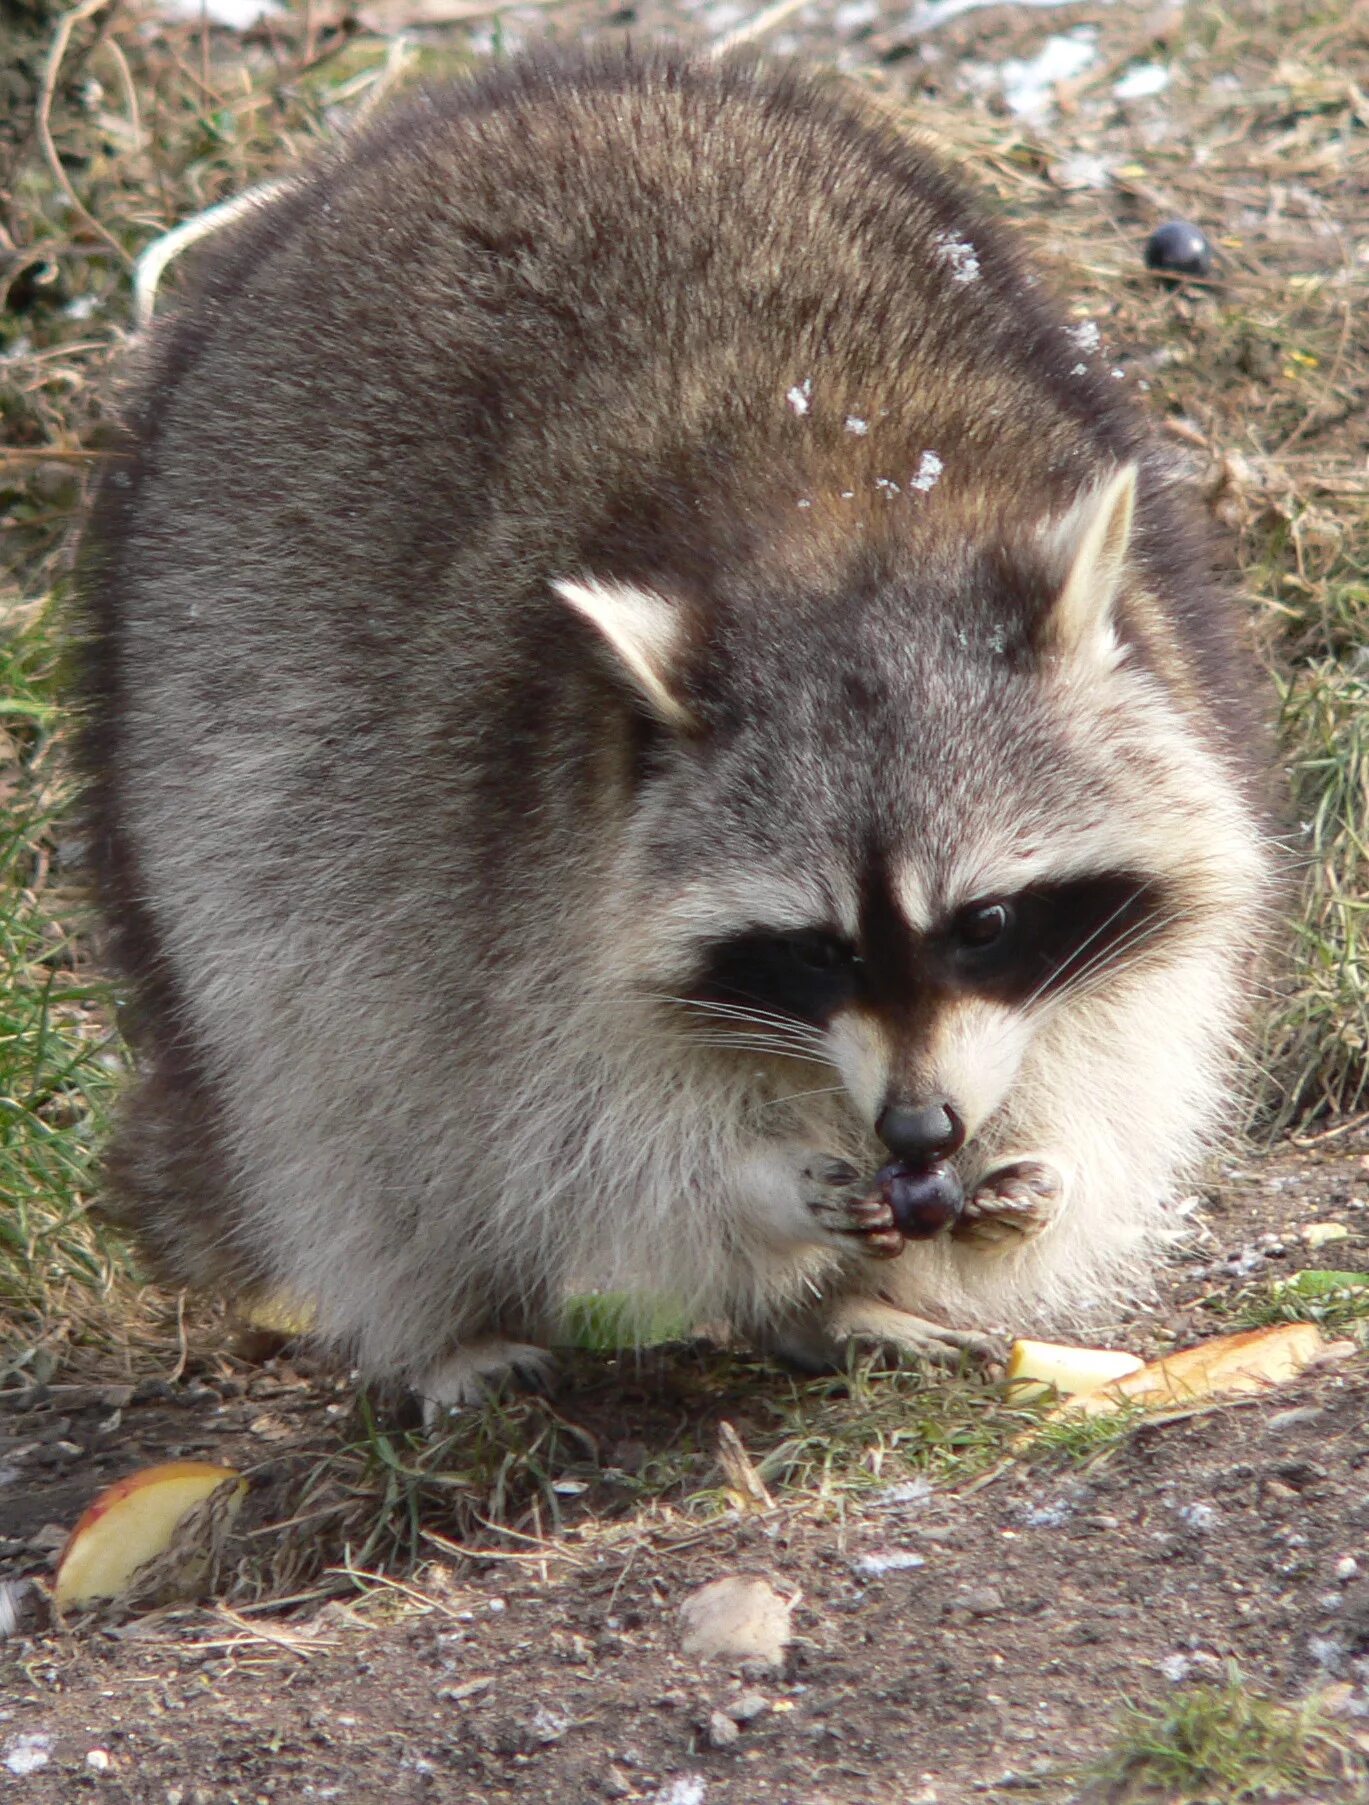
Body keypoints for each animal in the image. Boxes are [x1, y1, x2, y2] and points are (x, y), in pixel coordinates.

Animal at [77, 38, 1278, 1393]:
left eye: (985, 922)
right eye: (818, 949)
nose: (919, 1127)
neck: (843, 513)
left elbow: (1121, 1053)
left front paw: (1048, 1167)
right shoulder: (518, 873)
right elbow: (586, 1142)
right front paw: (755, 1183)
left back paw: (836, 1303)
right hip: (215, 773)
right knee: (332, 1090)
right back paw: (440, 1320)